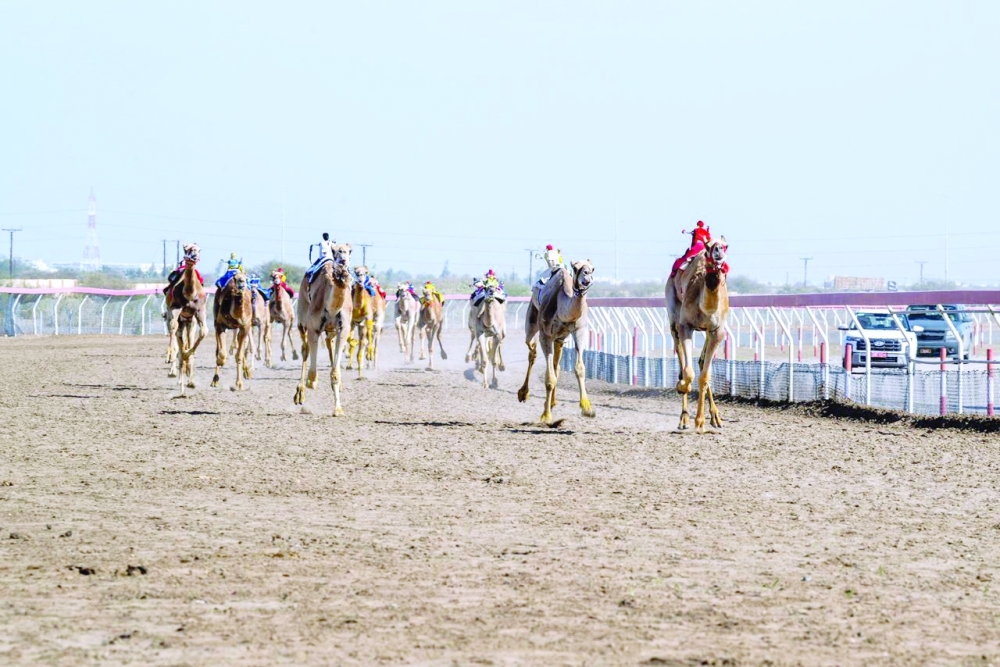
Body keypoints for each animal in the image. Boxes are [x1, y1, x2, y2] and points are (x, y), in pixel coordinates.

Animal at [164, 244, 208, 394]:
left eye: (199, 249)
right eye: (186, 248)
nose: (193, 256)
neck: (189, 294)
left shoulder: (199, 311)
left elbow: (204, 332)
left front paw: (188, 354)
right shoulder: (174, 308)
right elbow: (172, 328)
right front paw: (170, 356)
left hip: (189, 321)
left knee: (186, 340)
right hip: (178, 317)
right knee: (175, 331)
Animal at [294, 243, 353, 416]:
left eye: (350, 251)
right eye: (335, 251)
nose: (343, 260)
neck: (332, 307)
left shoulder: (343, 329)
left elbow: (335, 372)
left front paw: (338, 409)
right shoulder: (314, 328)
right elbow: (313, 373)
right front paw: (311, 382)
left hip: (331, 330)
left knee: (328, 342)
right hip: (302, 319)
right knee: (305, 349)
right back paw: (300, 394)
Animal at [517, 259, 596, 425]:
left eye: (592, 269)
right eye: (576, 268)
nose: (586, 277)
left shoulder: (579, 331)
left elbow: (580, 368)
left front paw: (587, 408)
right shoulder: (545, 336)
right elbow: (549, 378)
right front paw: (546, 416)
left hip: (560, 339)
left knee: (556, 366)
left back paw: (553, 402)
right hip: (532, 323)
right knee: (532, 353)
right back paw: (523, 393)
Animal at [665, 237, 730, 432]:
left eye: (726, 246)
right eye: (709, 247)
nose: (718, 250)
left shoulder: (717, 331)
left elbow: (705, 375)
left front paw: (701, 421)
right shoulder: (686, 325)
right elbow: (688, 372)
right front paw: (681, 387)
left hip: (707, 332)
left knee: (701, 363)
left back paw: (715, 418)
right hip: (673, 315)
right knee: (681, 362)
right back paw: (684, 419)